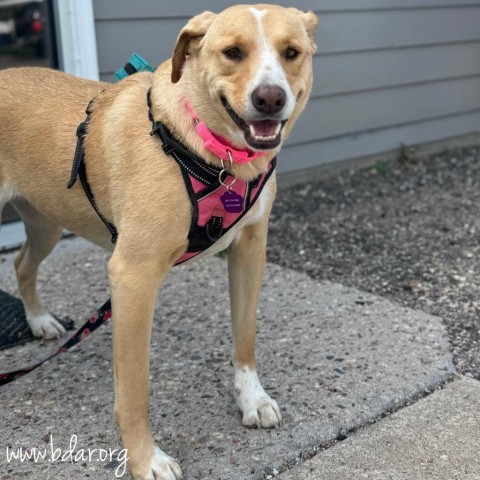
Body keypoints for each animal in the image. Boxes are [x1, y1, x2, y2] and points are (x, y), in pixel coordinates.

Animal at [0, 4, 316, 480]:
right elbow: (135, 390)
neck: (214, 155)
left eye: (292, 52)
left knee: (21, 264)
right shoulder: (132, 277)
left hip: (45, 222)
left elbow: (245, 338)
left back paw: (38, 322)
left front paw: (252, 398)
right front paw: (144, 458)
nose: (270, 98)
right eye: (232, 52)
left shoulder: (249, 251)